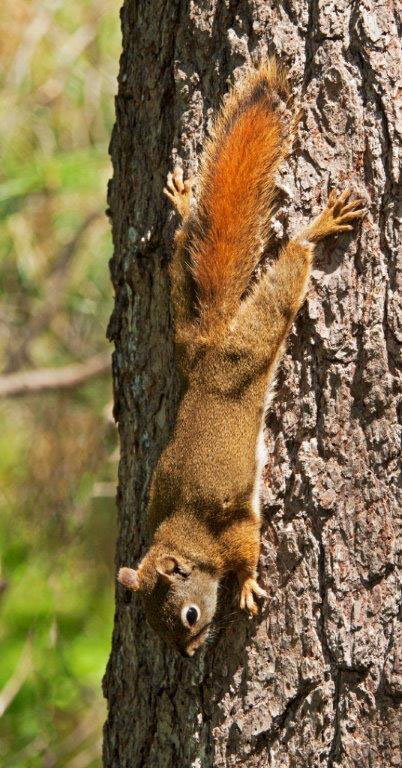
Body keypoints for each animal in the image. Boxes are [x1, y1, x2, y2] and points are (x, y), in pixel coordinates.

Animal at [118, 59, 366, 657]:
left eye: (187, 615)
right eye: (156, 628)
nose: (188, 653)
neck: (182, 531)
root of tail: (210, 361)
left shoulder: (231, 528)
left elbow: (250, 550)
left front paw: (249, 586)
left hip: (248, 350)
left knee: (286, 276)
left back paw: (317, 228)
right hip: (189, 330)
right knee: (184, 256)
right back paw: (187, 208)